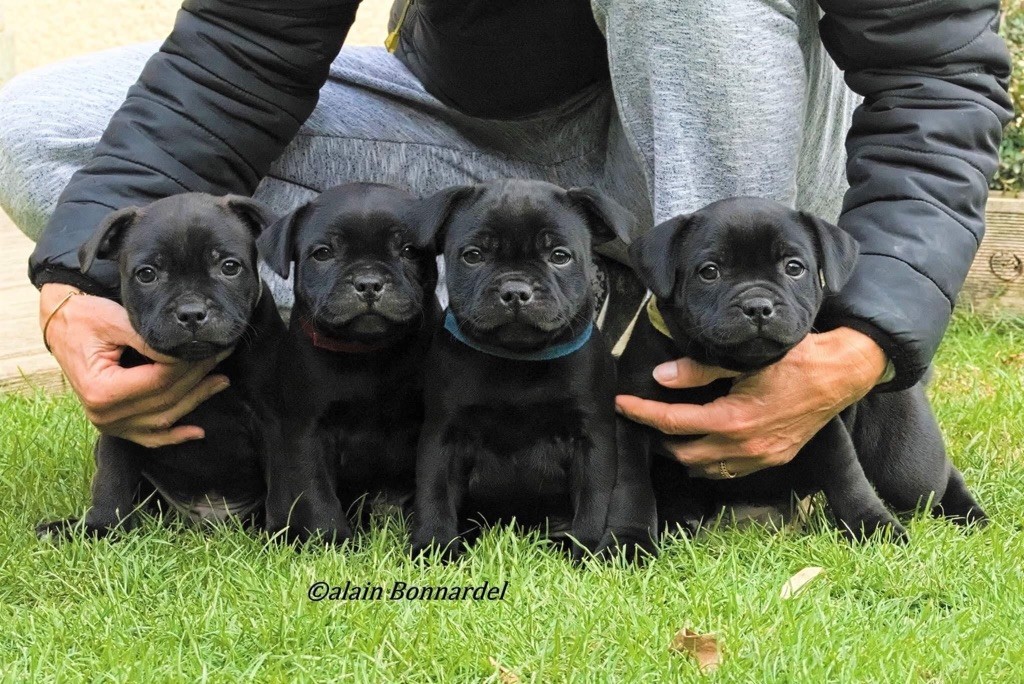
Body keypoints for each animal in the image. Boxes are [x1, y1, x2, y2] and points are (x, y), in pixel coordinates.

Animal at [36, 193, 284, 540]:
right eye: (147, 274)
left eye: (229, 267)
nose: (191, 312)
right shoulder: (121, 421)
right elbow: (111, 479)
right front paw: (101, 528)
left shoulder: (273, 420)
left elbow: (285, 479)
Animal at [256, 181, 440, 544]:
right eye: (323, 253)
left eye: (410, 251)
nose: (368, 282)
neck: (368, 350)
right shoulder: (307, 431)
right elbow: (317, 495)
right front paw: (331, 543)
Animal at [614, 196, 983, 540]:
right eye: (709, 271)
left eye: (794, 268)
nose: (758, 306)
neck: (729, 370)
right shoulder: (637, 424)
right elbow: (642, 485)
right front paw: (641, 538)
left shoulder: (819, 422)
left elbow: (847, 476)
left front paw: (875, 527)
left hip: (906, 463)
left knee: (937, 480)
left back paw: (971, 516)